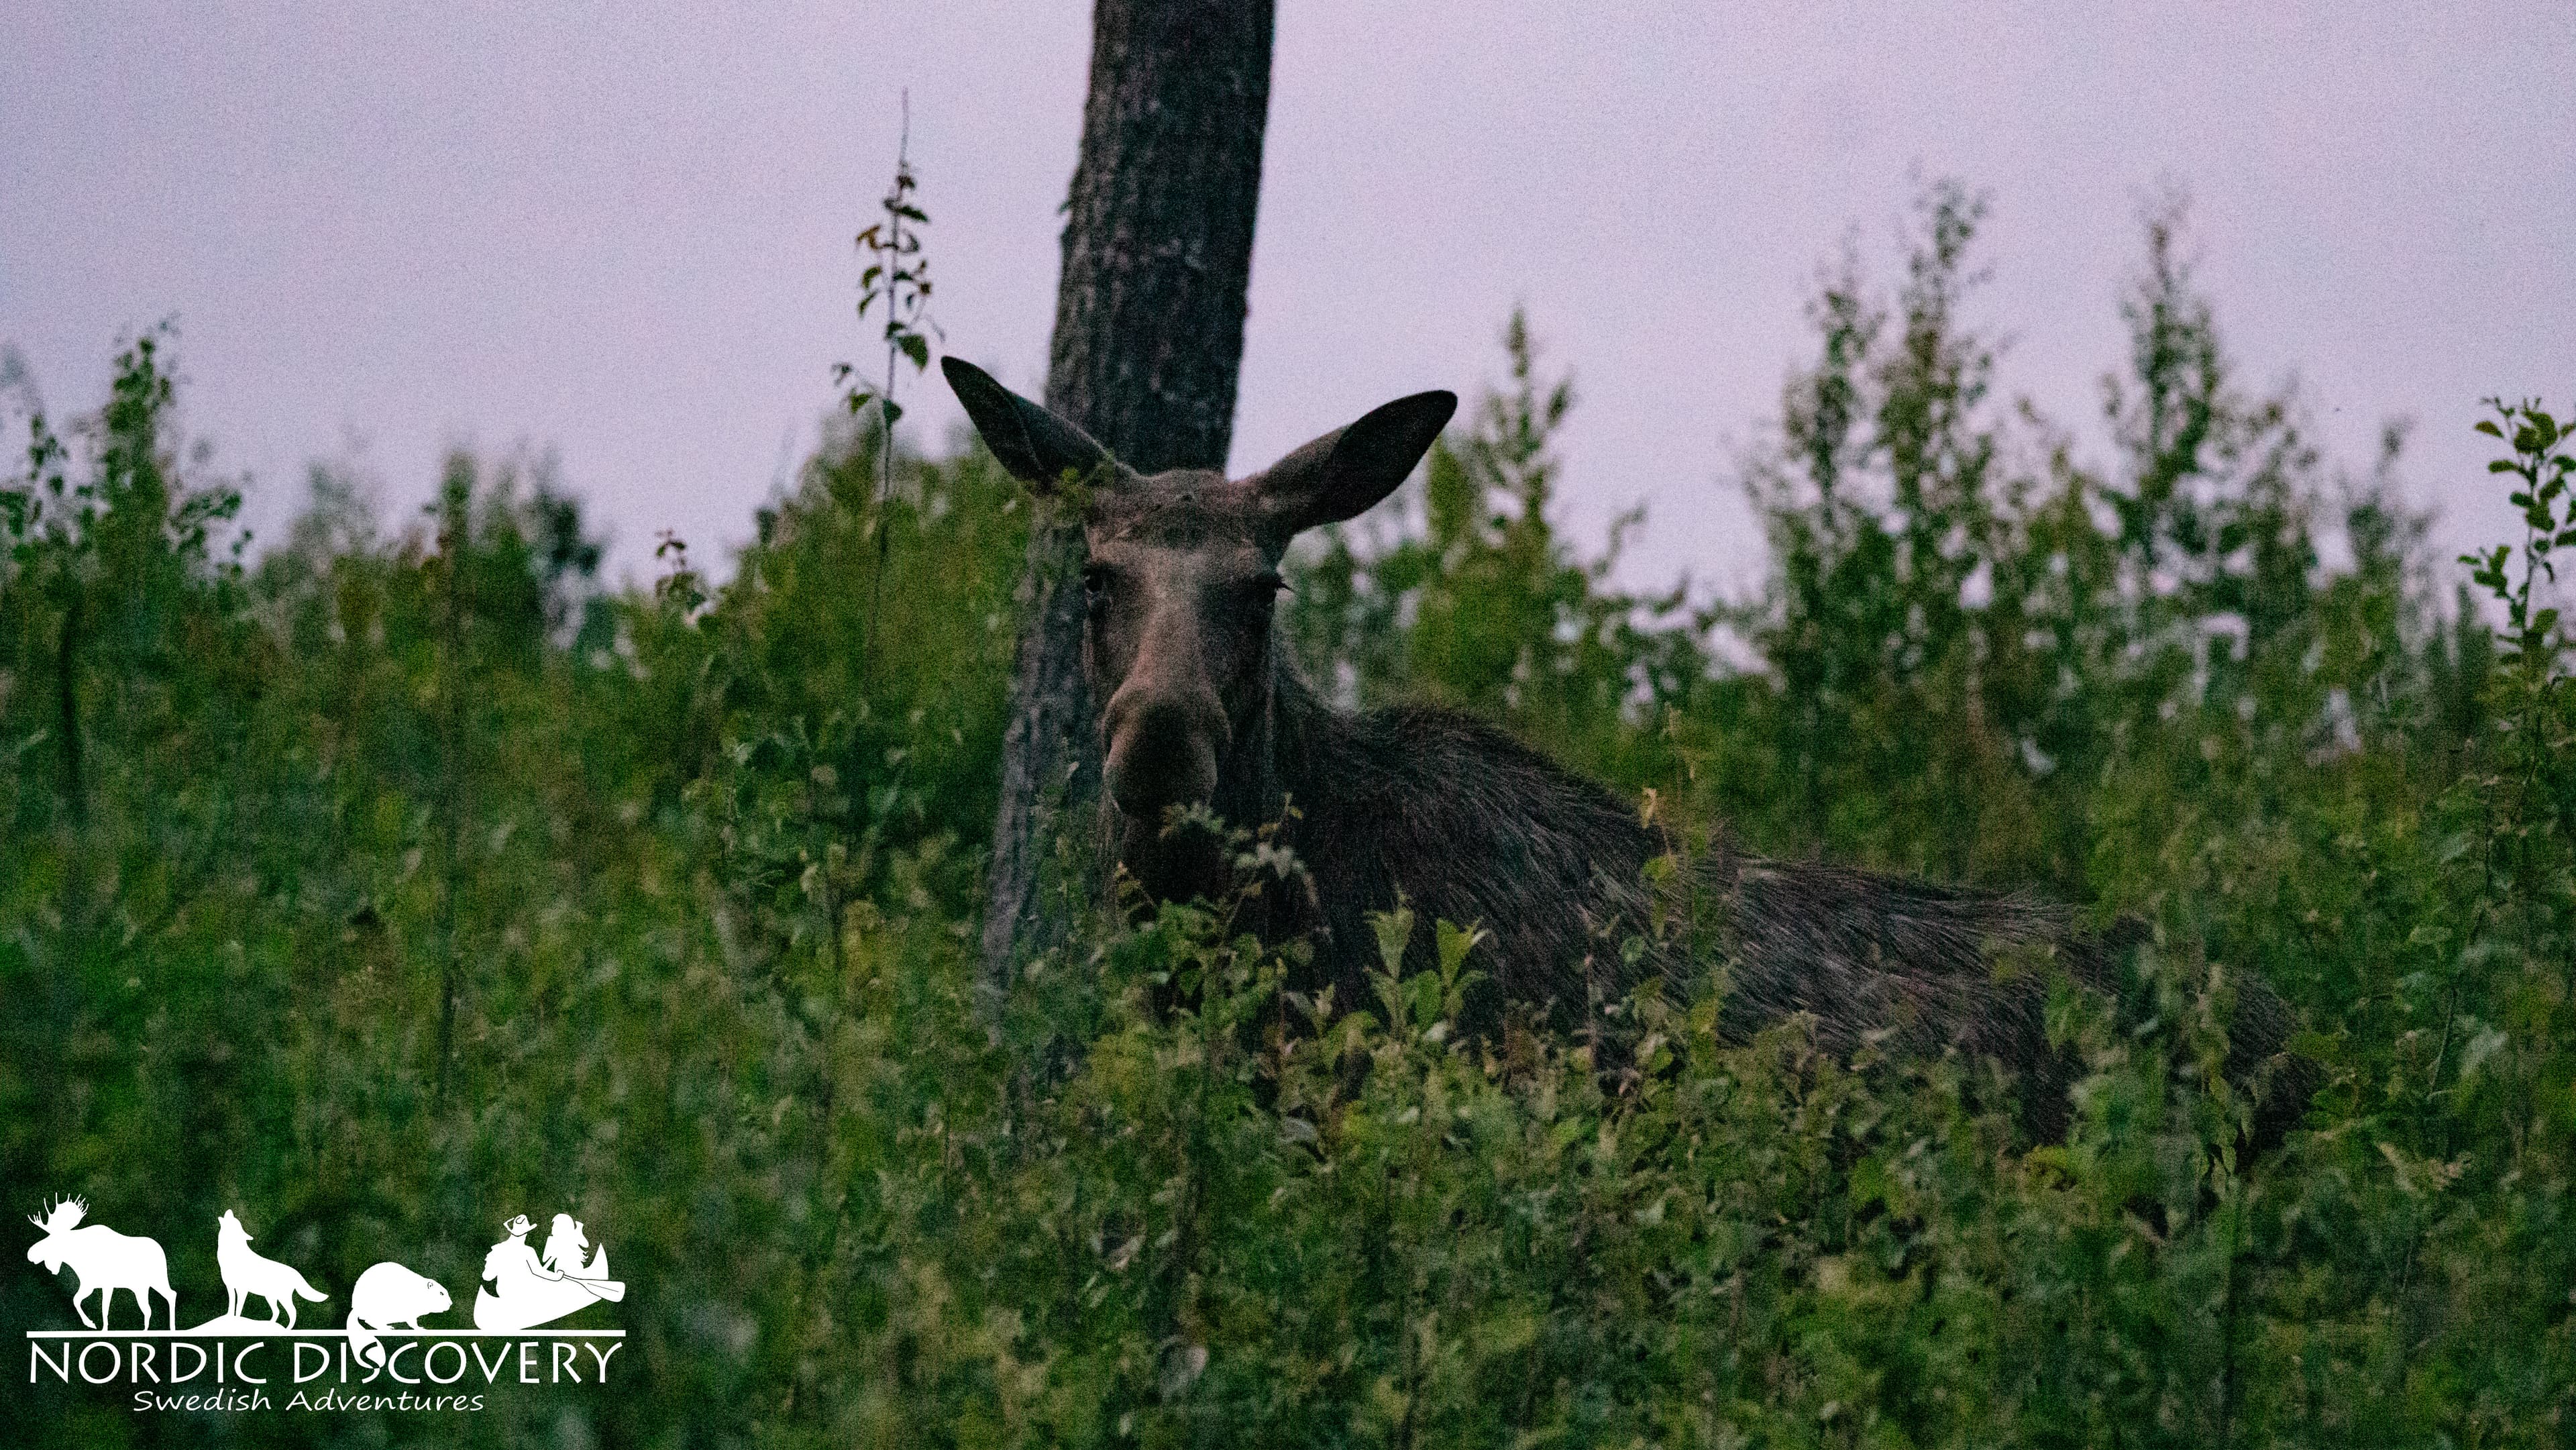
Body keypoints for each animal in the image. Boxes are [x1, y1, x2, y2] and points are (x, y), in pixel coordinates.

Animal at [26, 1196, 177, 1331]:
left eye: (51, 1238)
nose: (30, 1253)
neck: (76, 1258)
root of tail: (161, 1250)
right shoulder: (89, 1285)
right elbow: (76, 1300)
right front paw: (91, 1324)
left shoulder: (107, 1285)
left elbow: (104, 1309)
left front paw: (102, 1328)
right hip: (141, 1287)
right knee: (149, 1309)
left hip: (158, 1279)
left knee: (170, 1295)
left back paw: (171, 1328)